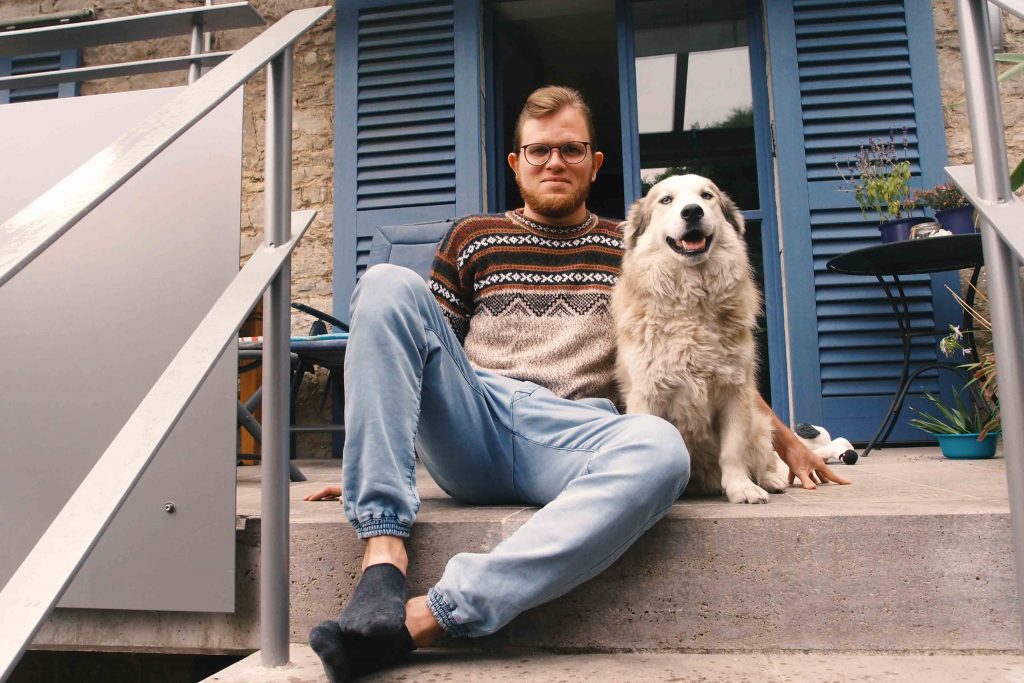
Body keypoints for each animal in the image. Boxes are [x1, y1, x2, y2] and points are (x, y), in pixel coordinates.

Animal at [610, 174, 786, 505]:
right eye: (666, 200)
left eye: (707, 196)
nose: (692, 212)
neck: (692, 301)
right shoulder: (646, 394)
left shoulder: (735, 393)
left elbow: (733, 451)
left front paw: (741, 487)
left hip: (759, 423)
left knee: (764, 454)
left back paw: (772, 478)